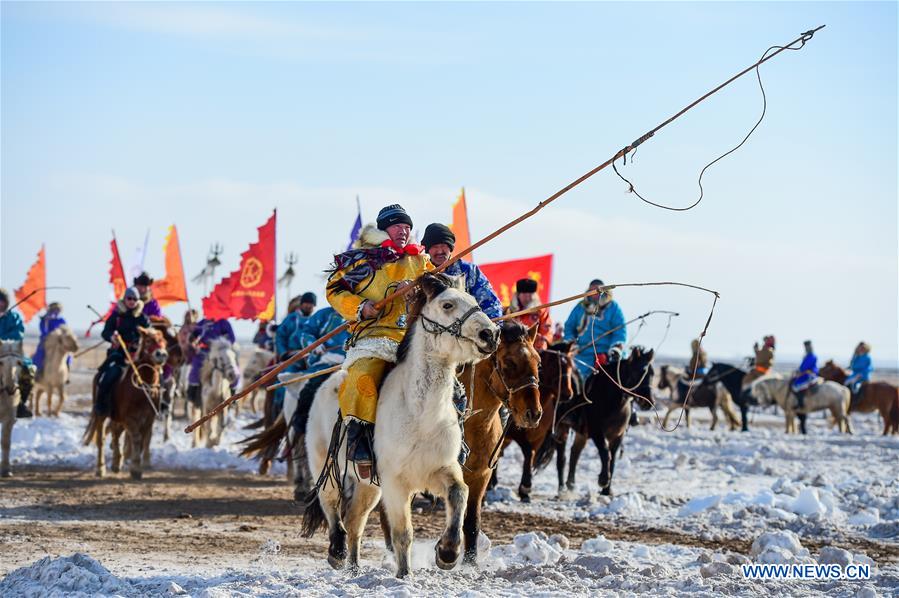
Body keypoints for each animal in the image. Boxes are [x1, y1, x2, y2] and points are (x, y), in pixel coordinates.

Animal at [85, 326, 170, 480]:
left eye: (164, 341)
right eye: (148, 341)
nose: (161, 354)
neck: (142, 387)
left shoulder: (148, 419)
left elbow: (142, 440)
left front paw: (134, 465)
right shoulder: (129, 418)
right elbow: (136, 438)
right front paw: (135, 468)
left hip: (117, 418)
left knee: (115, 433)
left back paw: (116, 463)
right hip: (102, 414)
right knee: (101, 439)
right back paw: (101, 468)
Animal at [302, 274, 500, 580]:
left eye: (475, 301)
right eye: (447, 304)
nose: (490, 334)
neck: (420, 412)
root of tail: (326, 383)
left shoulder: (440, 470)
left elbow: (459, 493)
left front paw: (447, 552)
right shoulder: (396, 484)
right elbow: (402, 533)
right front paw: (404, 575)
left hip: (369, 486)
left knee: (355, 521)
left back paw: (354, 568)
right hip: (326, 465)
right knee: (332, 505)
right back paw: (337, 552)